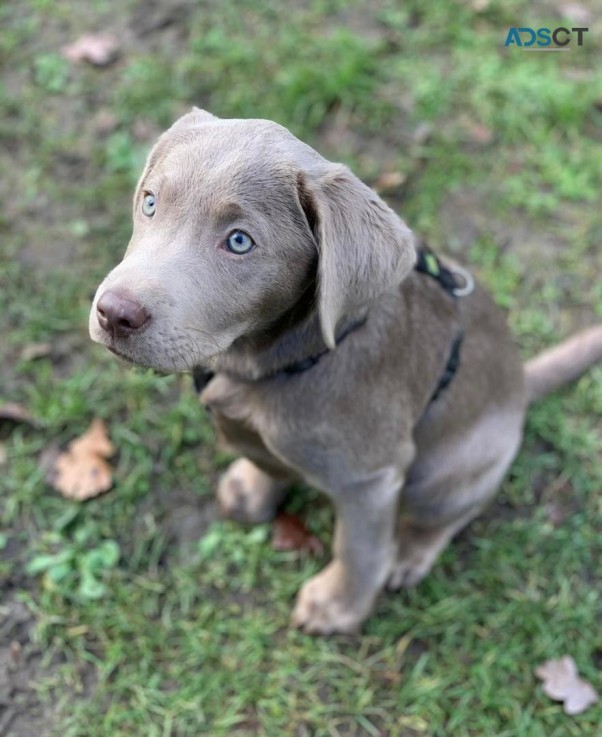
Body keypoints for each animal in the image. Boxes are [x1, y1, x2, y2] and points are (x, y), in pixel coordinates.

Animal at [88, 108, 600, 632]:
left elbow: (359, 548)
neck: (275, 362)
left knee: (446, 516)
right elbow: (263, 456)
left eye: (239, 241)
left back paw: (409, 554)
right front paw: (251, 489)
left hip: (447, 470)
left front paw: (336, 605)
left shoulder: (369, 479)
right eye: (150, 203)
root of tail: (520, 384)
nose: (114, 313)